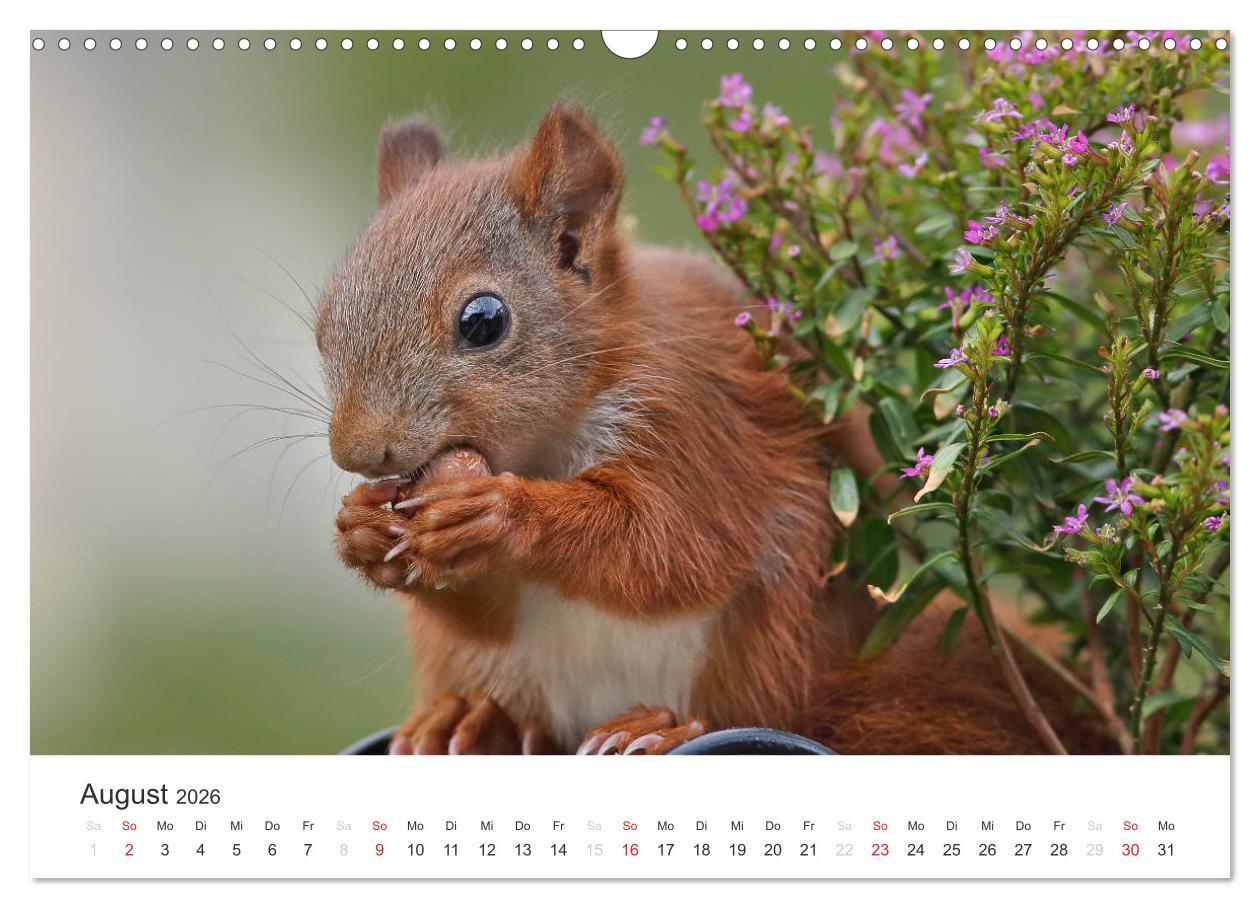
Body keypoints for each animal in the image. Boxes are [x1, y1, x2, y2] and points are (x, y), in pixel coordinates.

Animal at [318, 100, 1115, 756]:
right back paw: (476, 720)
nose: (360, 452)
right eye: (325, 320)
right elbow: (489, 611)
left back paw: (664, 727)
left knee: (761, 708)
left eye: (483, 321)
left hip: (773, 639)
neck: (543, 447)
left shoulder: (696, 424)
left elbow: (672, 546)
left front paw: (502, 512)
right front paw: (360, 530)